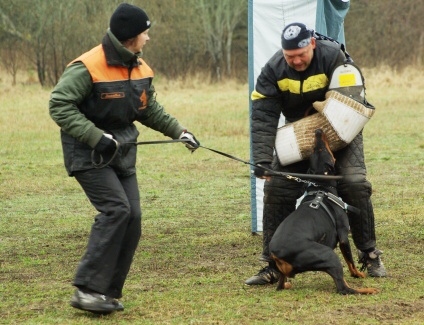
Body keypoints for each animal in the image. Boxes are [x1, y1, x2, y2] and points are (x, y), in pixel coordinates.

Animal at [268, 128, 378, 294]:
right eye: (321, 149)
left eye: (314, 149)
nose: (318, 130)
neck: (320, 186)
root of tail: (277, 255)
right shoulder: (344, 236)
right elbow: (350, 261)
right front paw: (358, 274)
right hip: (328, 255)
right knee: (343, 288)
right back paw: (369, 290)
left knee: (280, 285)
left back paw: (286, 284)